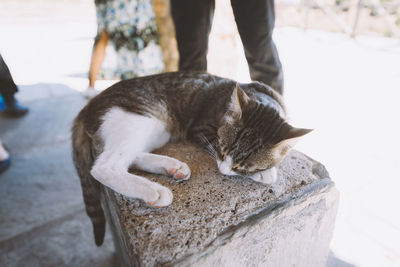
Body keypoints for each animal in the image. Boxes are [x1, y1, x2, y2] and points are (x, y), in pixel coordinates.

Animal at [71, 71, 310, 247]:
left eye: (244, 165)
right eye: (223, 148)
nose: (224, 171)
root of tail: (89, 104)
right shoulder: (200, 129)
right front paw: (266, 172)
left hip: (158, 128)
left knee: (132, 155)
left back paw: (172, 167)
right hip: (140, 117)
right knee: (105, 166)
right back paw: (154, 190)